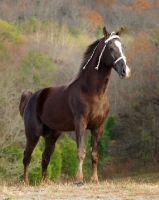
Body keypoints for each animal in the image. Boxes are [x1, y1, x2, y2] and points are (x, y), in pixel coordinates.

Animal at [19, 26, 130, 184]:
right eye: (111, 48)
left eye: (123, 47)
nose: (125, 71)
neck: (92, 92)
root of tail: (32, 97)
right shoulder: (80, 124)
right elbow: (80, 151)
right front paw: (79, 179)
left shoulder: (98, 127)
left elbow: (94, 154)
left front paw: (94, 179)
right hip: (33, 134)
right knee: (27, 157)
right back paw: (25, 182)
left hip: (51, 136)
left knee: (45, 157)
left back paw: (44, 182)